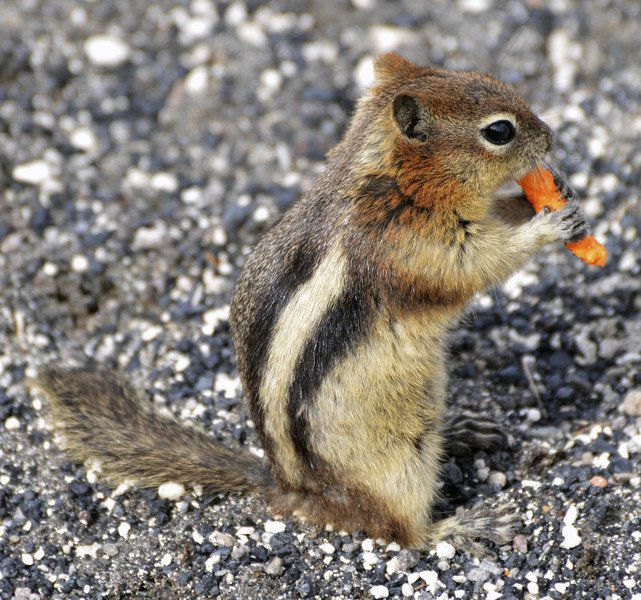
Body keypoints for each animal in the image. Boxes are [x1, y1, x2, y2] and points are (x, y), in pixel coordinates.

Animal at [32, 54, 588, 556]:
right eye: (500, 131)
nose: (551, 138)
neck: (387, 178)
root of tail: (292, 489)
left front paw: (545, 197)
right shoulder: (408, 246)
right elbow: (475, 265)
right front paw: (545, 224)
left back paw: (460, 428)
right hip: (397, 470)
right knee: (402, 532)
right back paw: (462, 526)